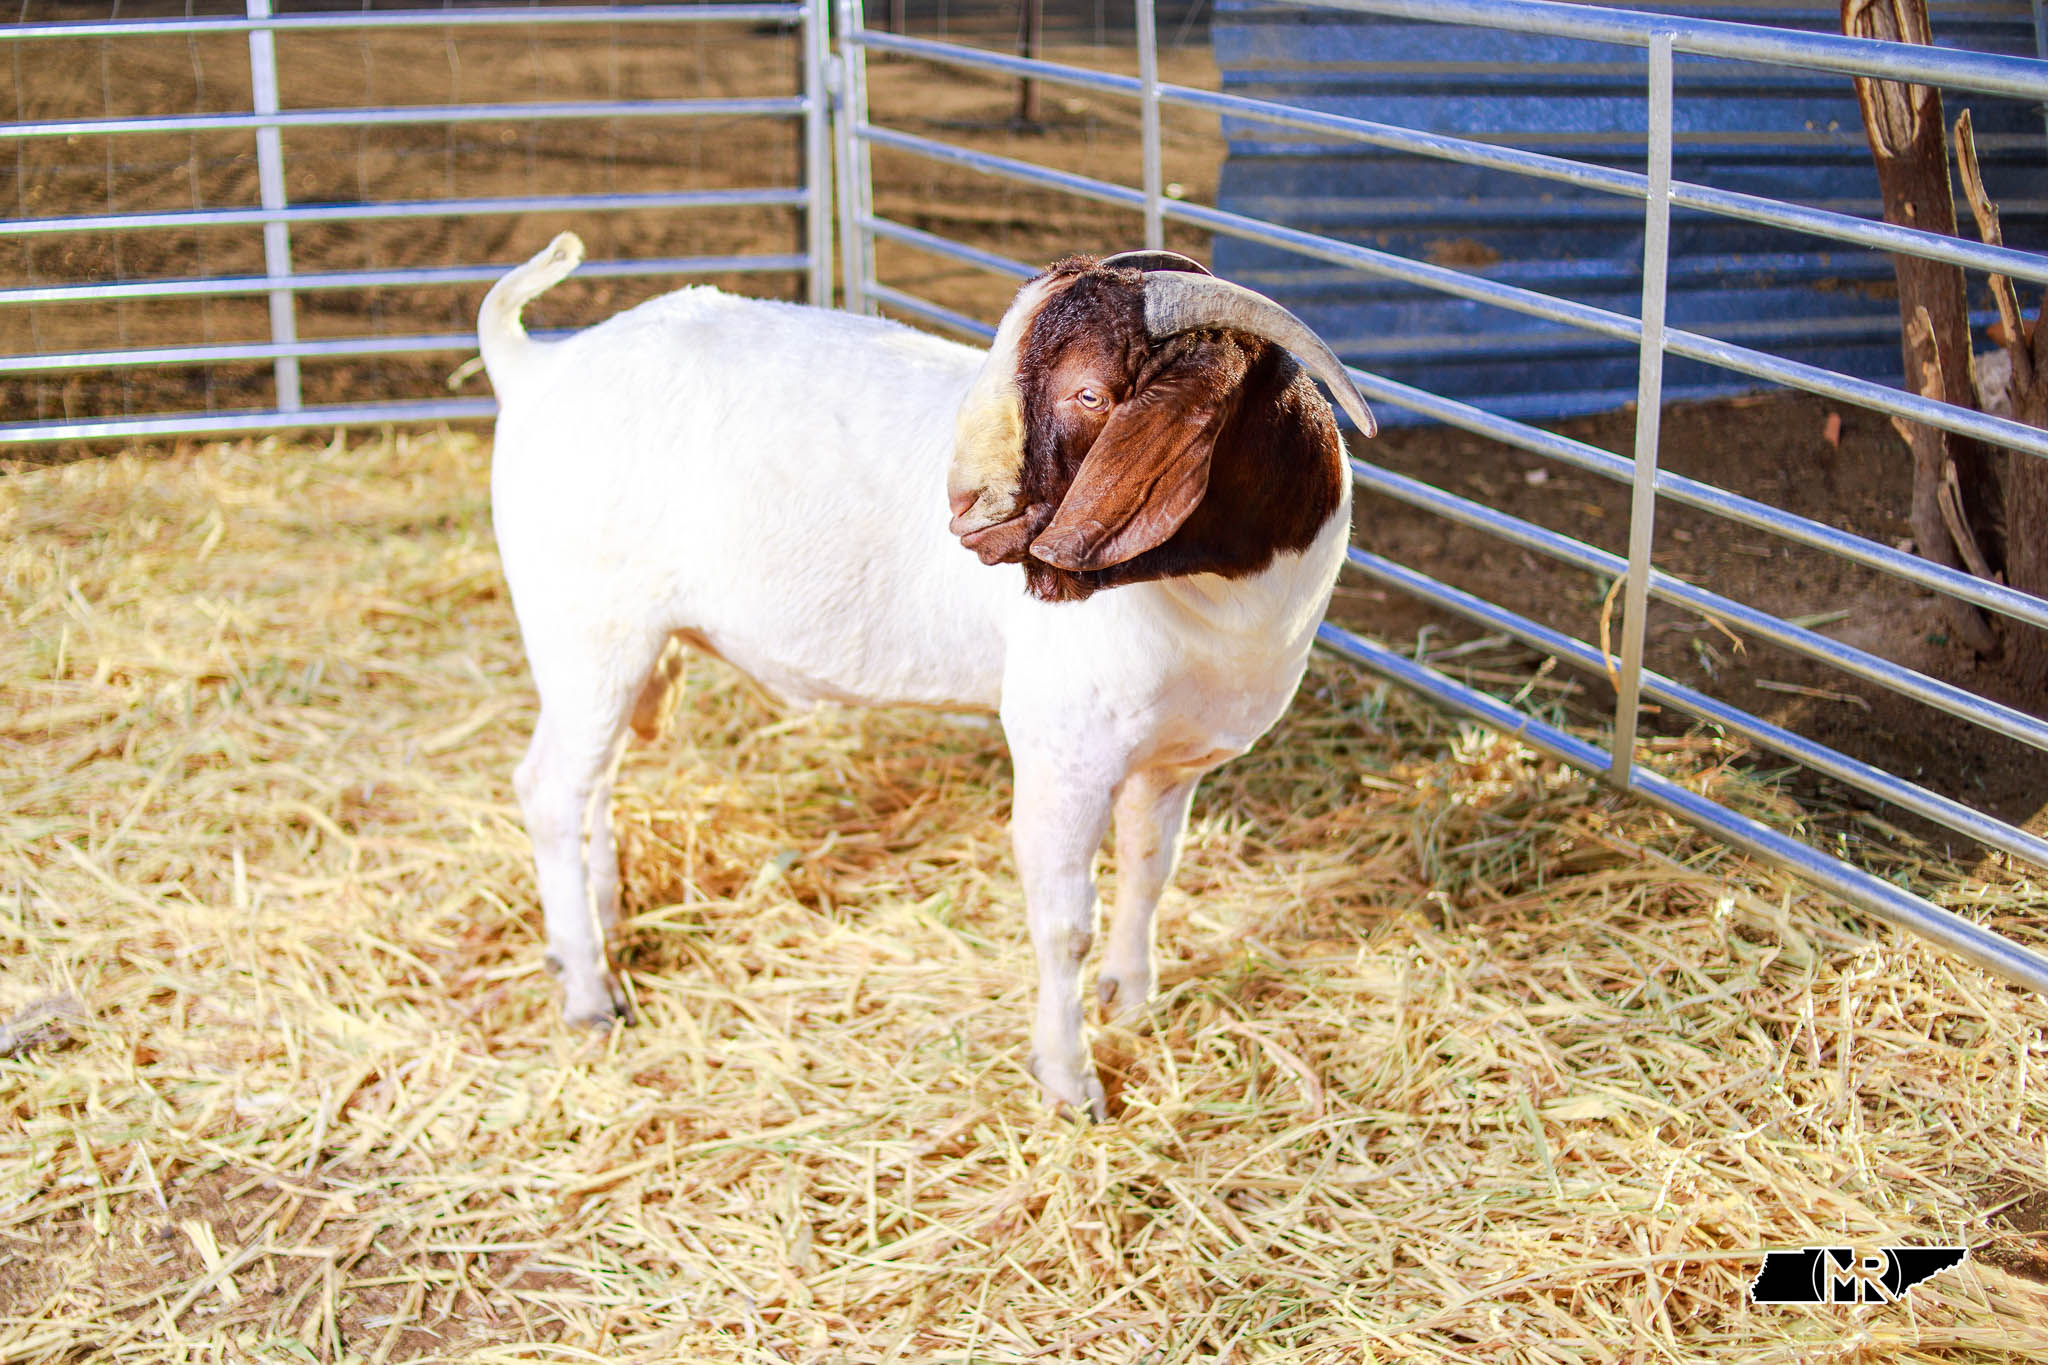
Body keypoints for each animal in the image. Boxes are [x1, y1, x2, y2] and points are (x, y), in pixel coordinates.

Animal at [481, 234, 1375, 1118]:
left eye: (1089, 391)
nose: (964, 503)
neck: (1223, 604)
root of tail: (535, 366)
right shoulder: (1065, 752)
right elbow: (1064, 925)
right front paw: (1069, 1077)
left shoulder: (1175, 759)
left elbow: (1153, 870)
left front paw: (1132, 995)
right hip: (588, 629)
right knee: (548, 788)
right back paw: (590, 993)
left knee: (590, 782)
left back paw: (599, 925)